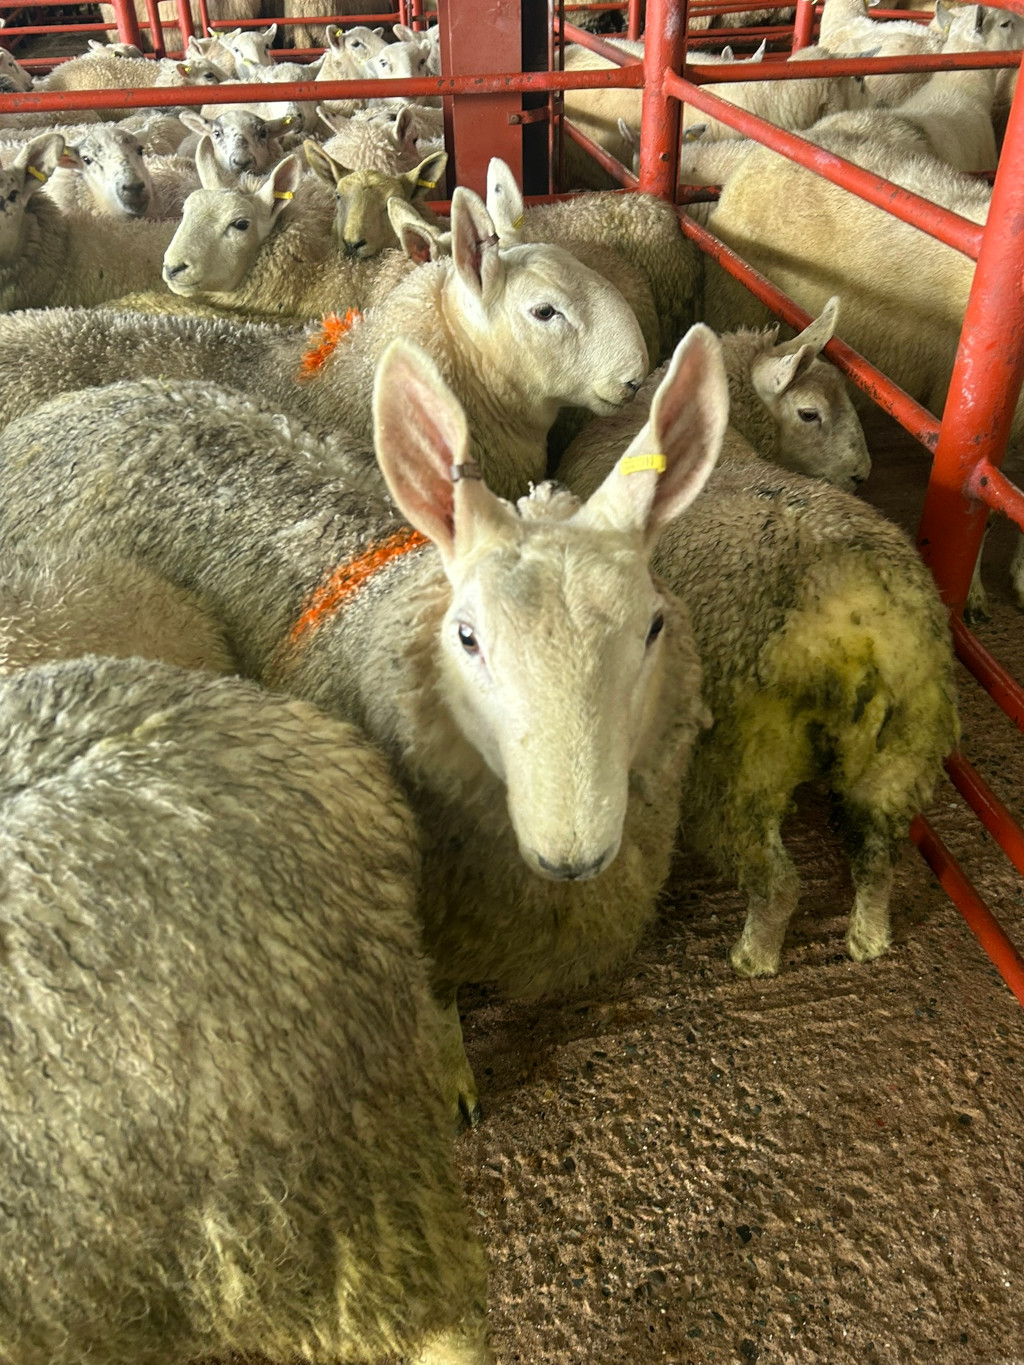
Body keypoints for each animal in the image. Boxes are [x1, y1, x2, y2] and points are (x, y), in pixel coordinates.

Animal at [0, 323, 728, 1121]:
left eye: (653, 625)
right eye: (466, 636)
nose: (573, 853)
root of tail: (86, 402)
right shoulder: (422, 913)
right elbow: (436, 1000)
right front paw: (452, 1082)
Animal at [557, 348, 959, 978]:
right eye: (810, 412)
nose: (862, 476)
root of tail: (858, 620)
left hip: (737, 767)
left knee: (778, 884)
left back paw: (755, 956)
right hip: (905, 748)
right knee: (878, 861)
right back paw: (869, 938)